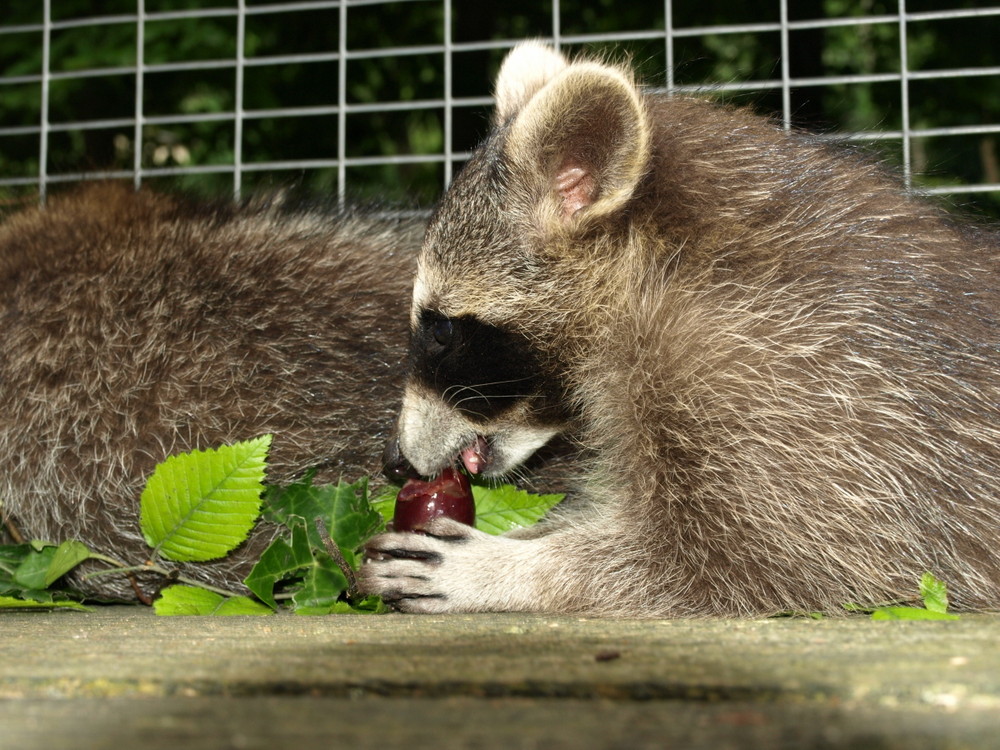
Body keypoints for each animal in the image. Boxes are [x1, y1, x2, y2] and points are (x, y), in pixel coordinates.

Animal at [360, 44, 1000, 616]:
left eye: (440, 330)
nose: (392, 463)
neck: (657, 265)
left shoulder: (798, 384)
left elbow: (783, 562)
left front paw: (512, 569)